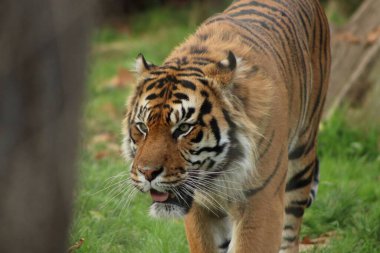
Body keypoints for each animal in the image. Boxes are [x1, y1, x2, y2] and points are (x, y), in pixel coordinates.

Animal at [121, 0, 330, 251]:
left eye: (183, 128)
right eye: (142, 127)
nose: (147, 173)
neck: (218, 172)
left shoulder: (260, 203)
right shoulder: (200, 208)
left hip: (302, 157)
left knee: (290, 232)